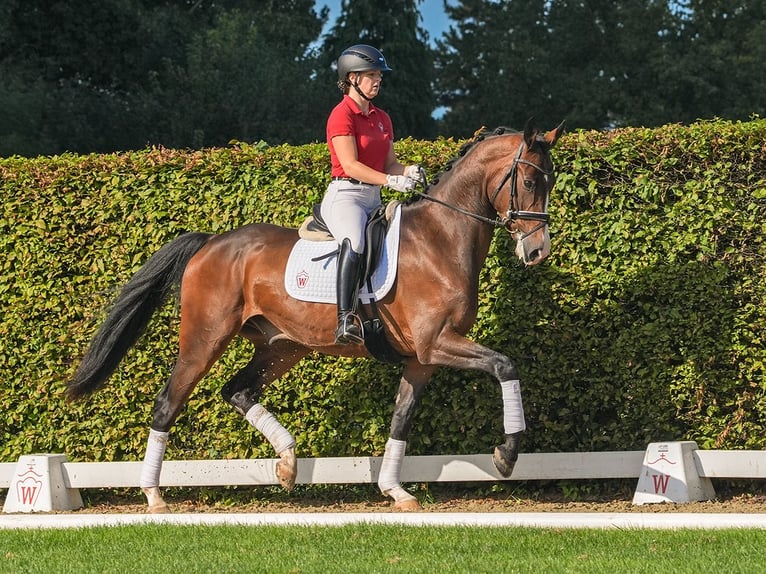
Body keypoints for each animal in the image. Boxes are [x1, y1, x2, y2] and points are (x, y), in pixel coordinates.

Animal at [69, 119, 568, 516]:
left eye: (551, 180)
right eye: (528, 180)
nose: (537, 252)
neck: (440, 239)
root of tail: (211, 242)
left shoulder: (421, 359)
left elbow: (400, 419)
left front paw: (395, 491)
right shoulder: (437, 343)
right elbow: (505, 365)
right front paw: (506, 456)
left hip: (282, 346)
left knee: (238, 390)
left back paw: (288, 465)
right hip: (205, 338)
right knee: (167, 403)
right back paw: (154, 496)